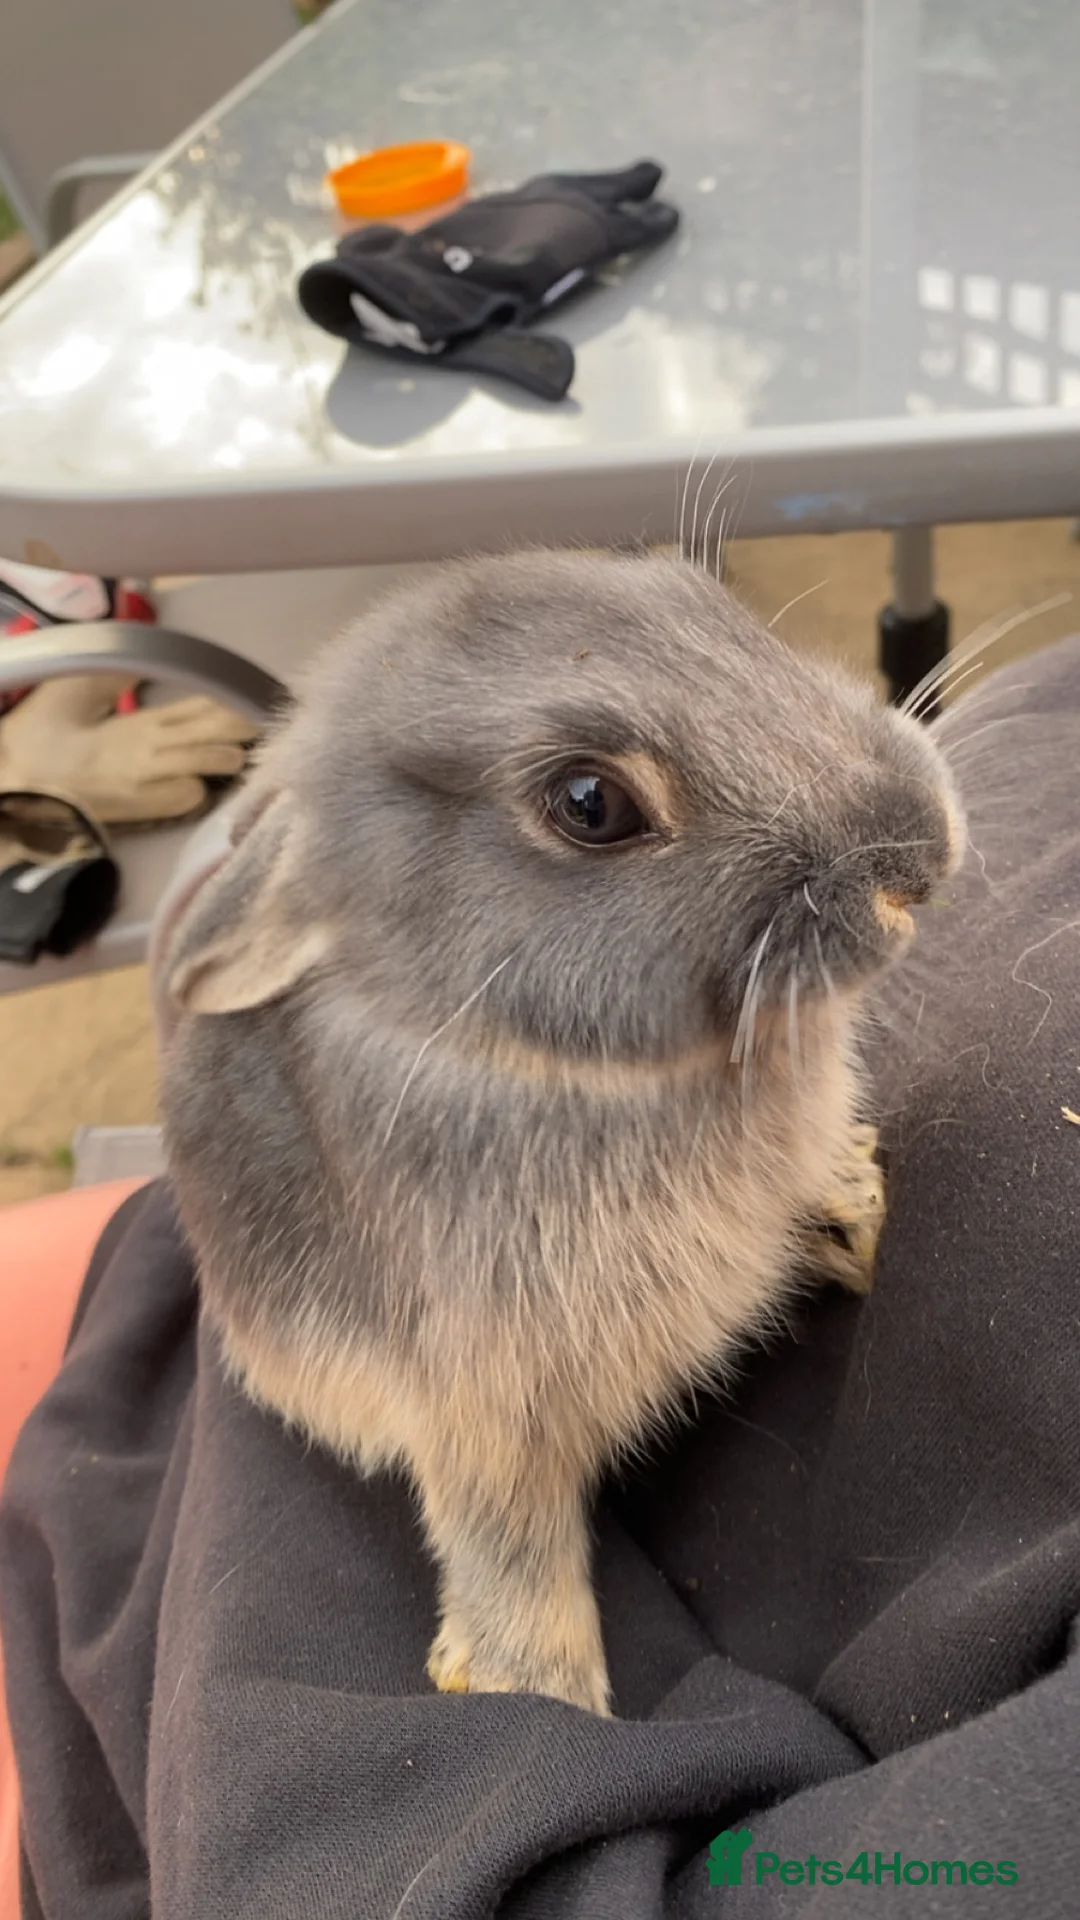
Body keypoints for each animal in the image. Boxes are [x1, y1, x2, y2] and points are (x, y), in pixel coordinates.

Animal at [158, 547, 964, 1717]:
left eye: (707, 604)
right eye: (591, 804)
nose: (919, 861)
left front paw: (858, 1213)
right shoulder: (478, 1401)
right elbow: (509, 1538)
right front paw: (534, 1685)